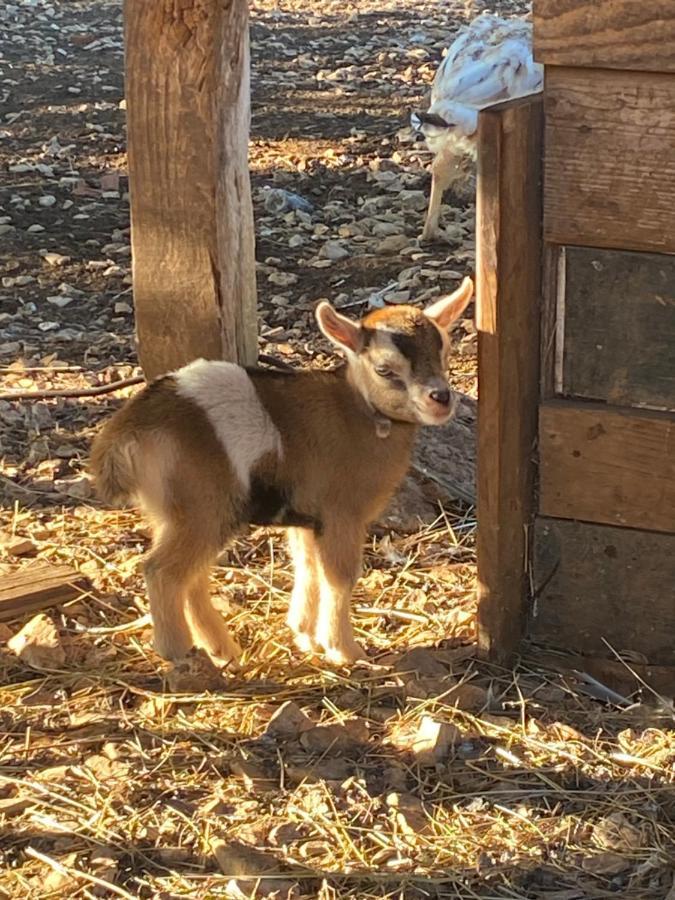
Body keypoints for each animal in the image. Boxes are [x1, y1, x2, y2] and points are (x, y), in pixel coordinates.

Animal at [91, 278, 476, 664]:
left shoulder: (306, 518)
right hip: (204, 505)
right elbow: (340, 577)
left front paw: (304, 634)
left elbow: (307, 567)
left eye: (444, 353)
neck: (358, 411)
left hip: (174, 511)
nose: (441, 398)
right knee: (162, 570)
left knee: (191, 575)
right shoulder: (341, 513)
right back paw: (179, 652)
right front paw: (344, 650)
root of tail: (128, 429)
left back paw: (223, 649)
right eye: (385, 369)